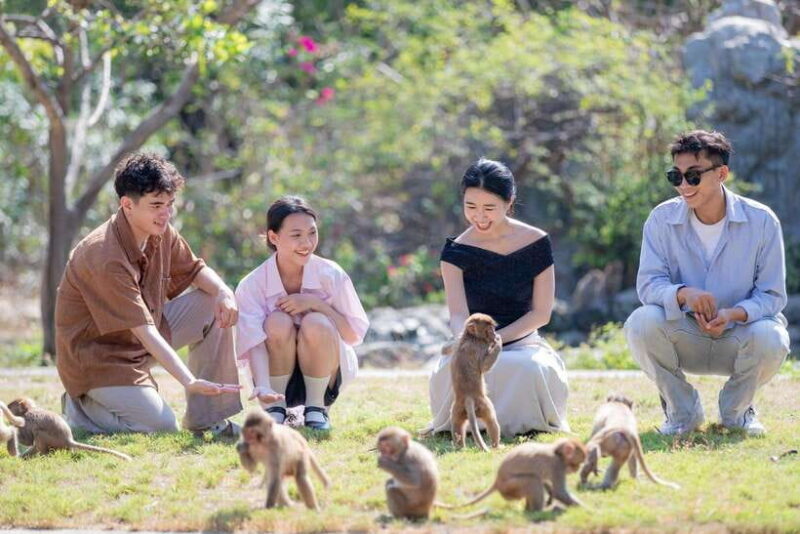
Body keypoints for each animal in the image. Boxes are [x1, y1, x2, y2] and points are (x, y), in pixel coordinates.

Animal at [450, 313, 502, 451]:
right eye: (489, 329)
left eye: (493, 328)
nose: (494, 334)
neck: (470, 337)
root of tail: (468, 398)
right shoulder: (480, 347)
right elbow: (484, 367)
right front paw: (498, 342)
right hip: (484, 404)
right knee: (491, 420)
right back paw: (496, 445)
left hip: (457, 409)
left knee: (457, 424)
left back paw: (460, 448)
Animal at [458, 438, 587, 512]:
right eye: (576, 463)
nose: (577, 469)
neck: (556, 452)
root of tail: (497, 480)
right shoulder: (557, 466)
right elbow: (560, 492)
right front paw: (587, 509)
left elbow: (545, 481)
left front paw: (550, 496)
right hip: (510, 487)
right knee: (532, 480)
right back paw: (538, 512)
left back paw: (529, 509)